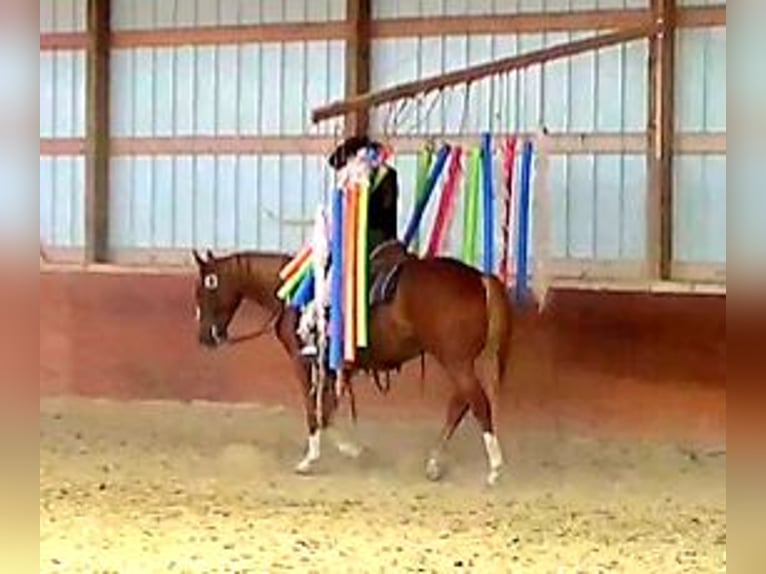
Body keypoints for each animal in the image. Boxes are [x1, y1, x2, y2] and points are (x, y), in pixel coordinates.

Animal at [192, 243, 516, 486]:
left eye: (206, 289)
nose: (205, 337)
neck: (294, 293)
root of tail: (481, 278)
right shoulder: (335, 367)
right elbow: (328, 408)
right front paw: (353, 450)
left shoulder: (304, 362)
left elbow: (314, 409)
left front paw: (310, 460)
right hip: (460, 361)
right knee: (460, 404)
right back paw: (435, 463)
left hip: (456, 361)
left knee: (477, 403)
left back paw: (494, 468)